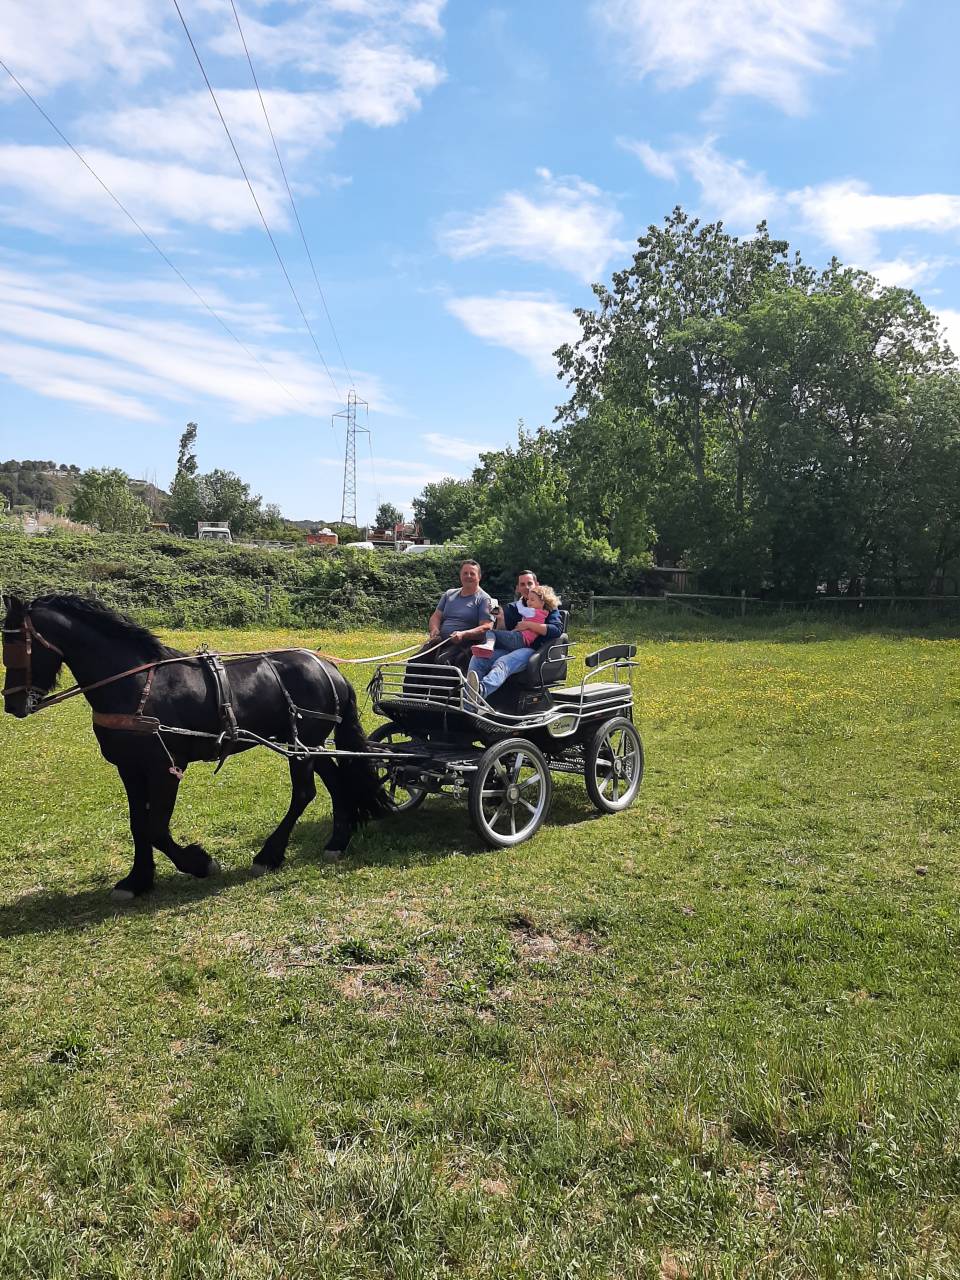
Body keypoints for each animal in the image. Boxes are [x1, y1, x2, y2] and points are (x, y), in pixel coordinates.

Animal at [2, 594, 389, 899]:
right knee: (336, 783)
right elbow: (138, 824)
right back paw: (337, 842)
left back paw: (269, 855)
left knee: (304, 793)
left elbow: (156, 827)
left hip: (302, 746)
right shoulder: (130, 768)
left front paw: (198, 863)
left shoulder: (166, 767)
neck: (137, 686)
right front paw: (137, 880)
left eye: (16, 646)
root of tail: (328, 667)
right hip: (310, 744)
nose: (12, 704)